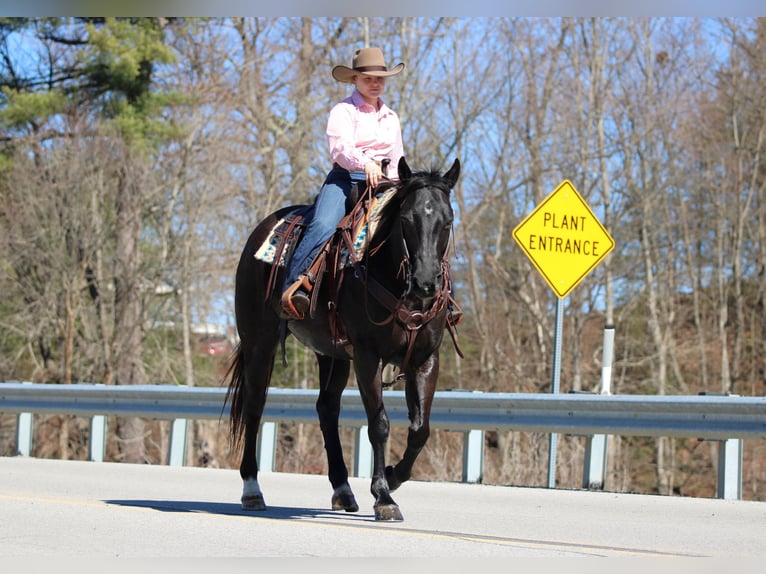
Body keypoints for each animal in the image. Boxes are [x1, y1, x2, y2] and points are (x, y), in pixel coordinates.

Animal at [223, 156, 461, 521]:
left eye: (447, 221)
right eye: (406, 219)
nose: (425, 283)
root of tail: (261, 231)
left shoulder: (424, 359)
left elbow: (420, 429)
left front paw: (393, 477)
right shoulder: (367, 356)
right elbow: (379, 424)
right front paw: (383, 497)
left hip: (331, 353)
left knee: (326, 408)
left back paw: (343, 490)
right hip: (258, 341)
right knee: (254, 405)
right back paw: (251, 489)